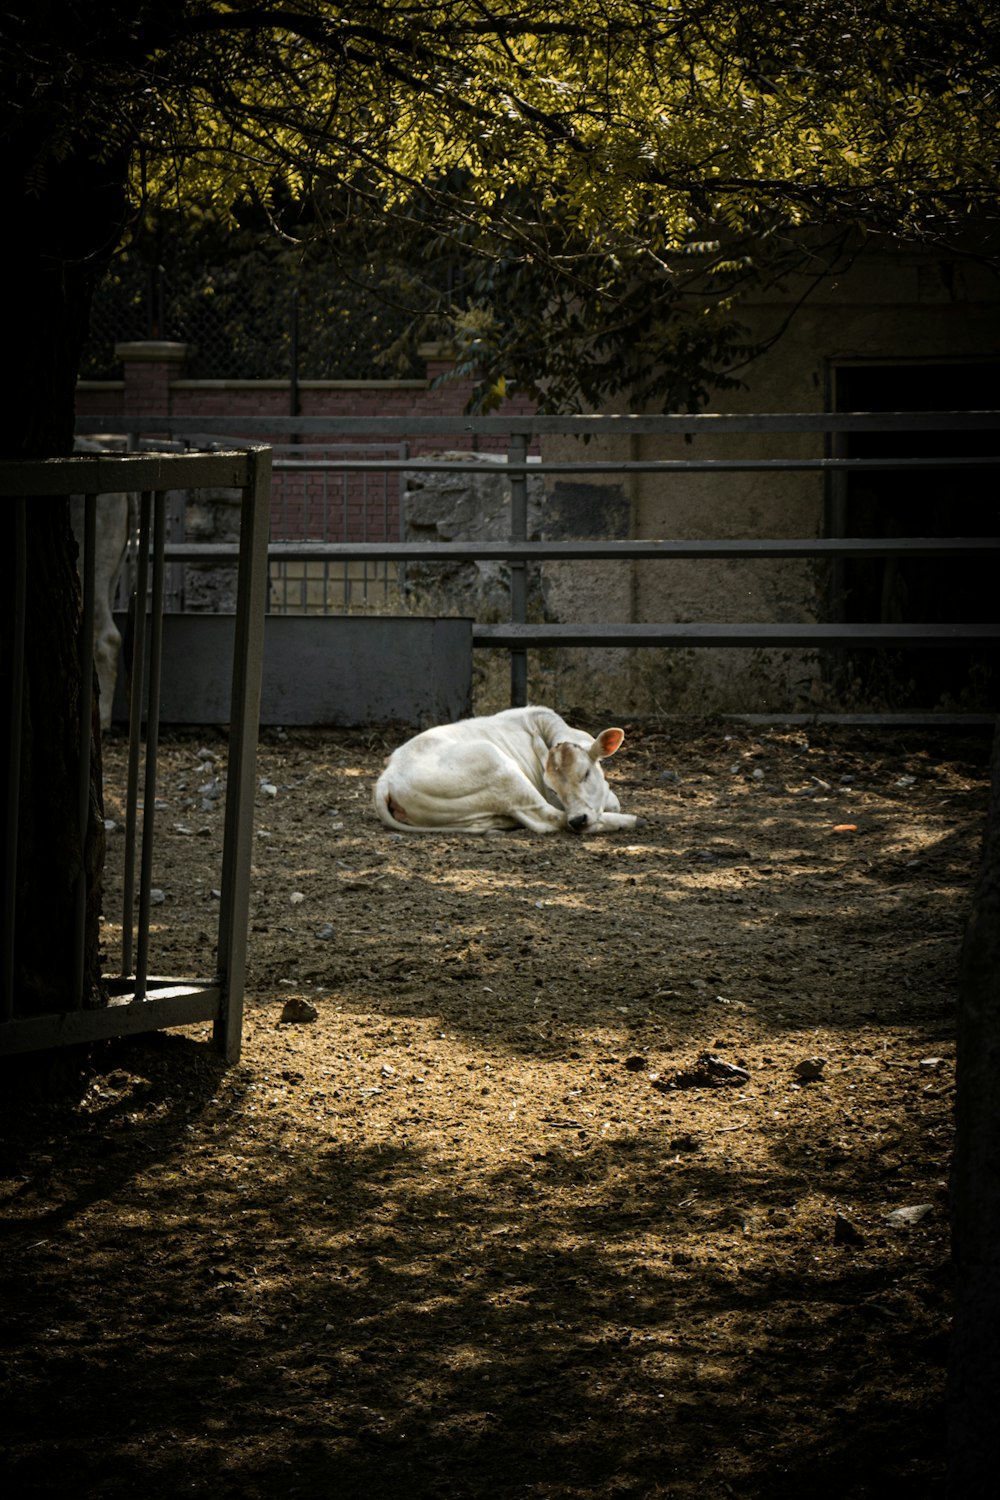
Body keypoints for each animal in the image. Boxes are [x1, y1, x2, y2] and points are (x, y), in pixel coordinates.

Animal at [371, 702, 638, 834]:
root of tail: (388, 776)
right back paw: (631, 820)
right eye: (553, 789)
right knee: (548, 820)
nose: (578, 819)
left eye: (585, 774)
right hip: (500, 768)